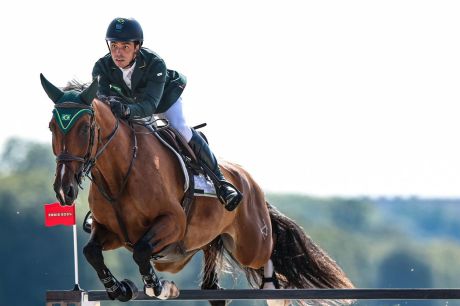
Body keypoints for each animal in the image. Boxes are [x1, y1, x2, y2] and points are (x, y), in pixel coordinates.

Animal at [41, 74, 354, 306]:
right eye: (52, 127)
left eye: (85, 128)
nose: (64, 190)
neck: (120, 176)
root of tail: (250, 182)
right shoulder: (112, 231)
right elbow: (90, 251)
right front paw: (119, 288)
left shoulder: (172, 223)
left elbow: (141, 251)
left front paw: (158, 287)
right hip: (213, 242)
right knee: (214, 289)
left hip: (249, 243)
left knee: (267, 253)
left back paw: (273, 293)